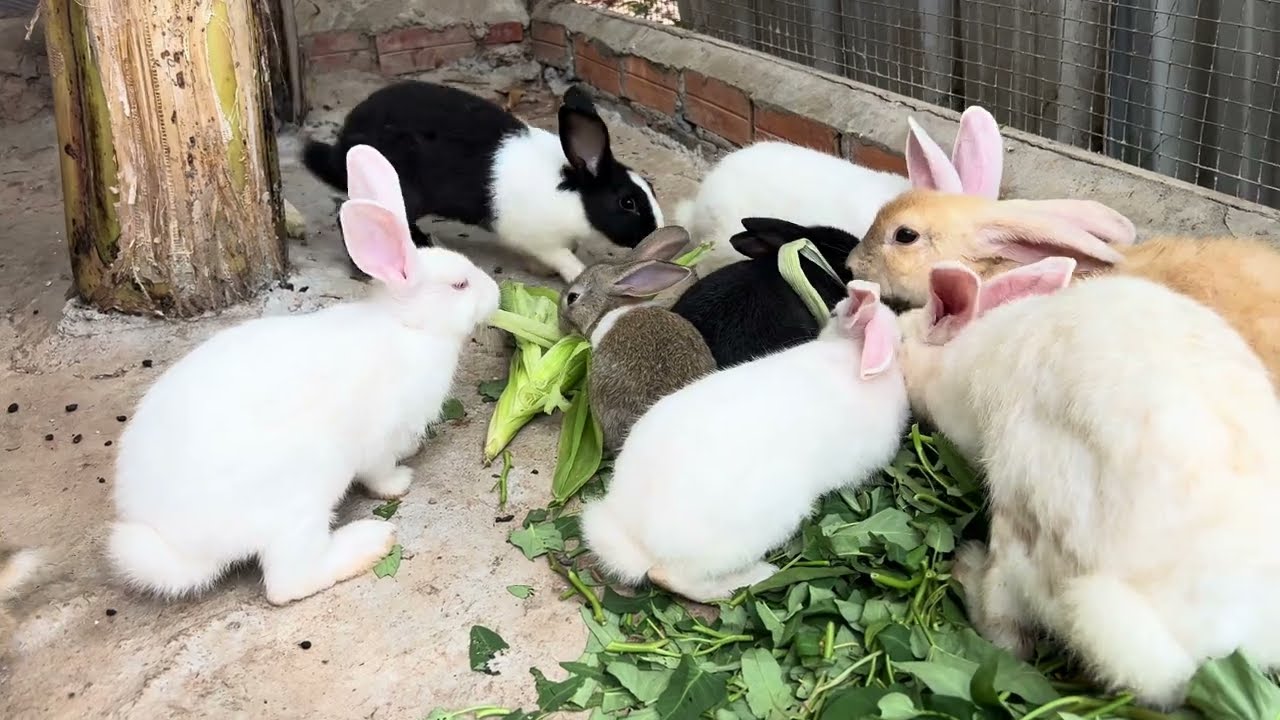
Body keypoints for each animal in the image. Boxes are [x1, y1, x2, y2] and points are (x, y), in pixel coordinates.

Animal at [109, 145, 501, 606]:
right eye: (460, 285)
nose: (496, 294)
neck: (408, 327)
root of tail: (178, 545)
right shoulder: (378, 439)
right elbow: (380, 472)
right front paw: (400, 483)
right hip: (304, 495)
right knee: (287, 582)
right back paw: (371, 540)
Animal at [303, 81, 663, 283]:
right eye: (627, 202)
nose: (656, 232)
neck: (576, 197)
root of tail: (342, 145)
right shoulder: (542, 239)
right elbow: (564, 259)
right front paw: (575, 274)